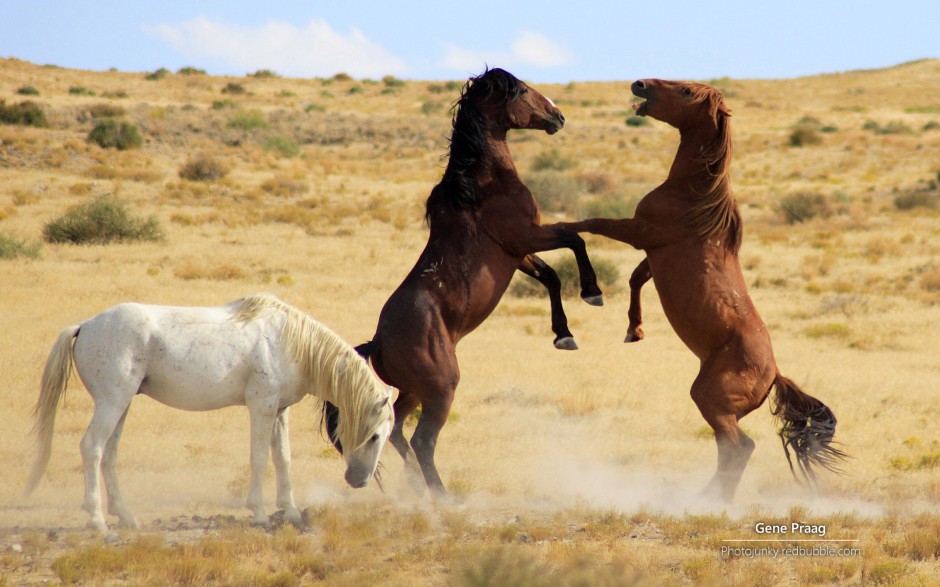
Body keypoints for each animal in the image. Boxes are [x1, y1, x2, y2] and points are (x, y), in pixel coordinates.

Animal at [26, 294, 392, 532]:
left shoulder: (279, 411)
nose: (358, 481)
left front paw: (290, 512)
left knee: (109, 454)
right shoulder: (261, 408)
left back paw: (126, 517)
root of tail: (85, 326)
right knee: (92, 448)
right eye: (374, 436)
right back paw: (97, 520)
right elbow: (259, 458)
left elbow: (283, 459)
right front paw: (259, 513)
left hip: (121, 405)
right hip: (112, 402)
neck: (288, 342)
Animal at [324, 70, 604, 500]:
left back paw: (417, 487)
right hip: (441, 389)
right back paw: (442, 495)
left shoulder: (518, 253)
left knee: (397, 430)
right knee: (422, 439)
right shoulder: (527, 237)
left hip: (413, 392)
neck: (482, 185)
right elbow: (575, 240)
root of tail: (378, 343)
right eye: (522, 90)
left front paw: (564, 334)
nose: (558, 116)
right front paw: (592, 292)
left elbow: (552, 276)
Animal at [548, 78, 848, 500]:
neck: (693, 197)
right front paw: (634, 330)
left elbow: (591, 222)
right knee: (730, 448)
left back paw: (712, 498)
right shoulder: (653, 254)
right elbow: (635, 278)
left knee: (740, 446)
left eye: (687, 91)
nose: (639, 83)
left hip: (710, 400)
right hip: (722, 410)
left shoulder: (638, 232)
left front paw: (556, 228)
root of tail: (774, 374)